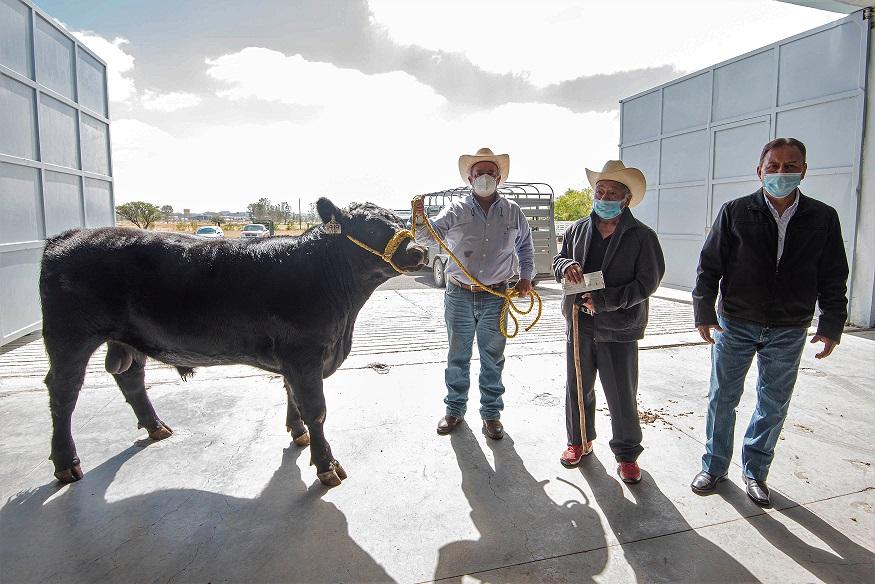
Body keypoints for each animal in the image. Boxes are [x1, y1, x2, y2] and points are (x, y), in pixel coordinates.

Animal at [39, 198, 430, 486]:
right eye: (370, 227)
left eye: (398, 220)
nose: (419, 252)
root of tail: (68, 236)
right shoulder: (304, 354)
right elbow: (315, 408)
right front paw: (326, 465)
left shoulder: (294, 359)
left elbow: (292, 395)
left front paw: (297, 432)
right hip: (68, 337)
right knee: (63, 391)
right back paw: (66, 463)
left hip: (127, 339)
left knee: (130, 376)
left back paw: (155, 427)